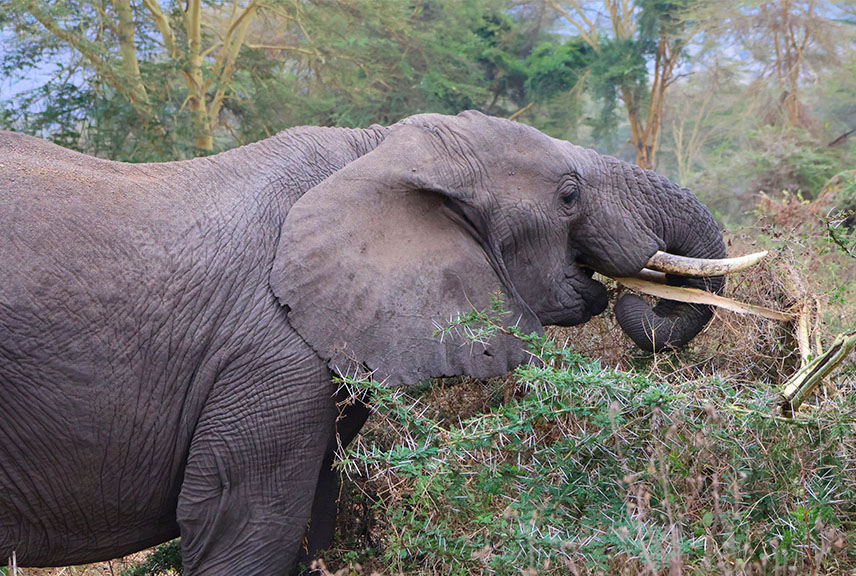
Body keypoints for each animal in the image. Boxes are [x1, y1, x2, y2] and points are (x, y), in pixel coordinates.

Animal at [1, 110, 736, 572]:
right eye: (567, 194)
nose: (640, 297)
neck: (373, 150)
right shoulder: (269, 353)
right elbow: (244, 526)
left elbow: (307, 523)